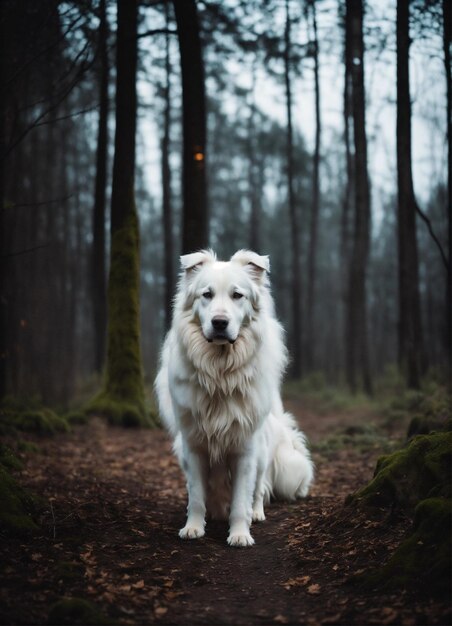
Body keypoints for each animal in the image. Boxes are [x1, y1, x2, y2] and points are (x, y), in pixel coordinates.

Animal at [154, 249, 312, 544]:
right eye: (207, 294)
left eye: (237, 295)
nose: (219, 323)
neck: (220, 374)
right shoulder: (194, 446)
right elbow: (196, 496)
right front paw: (194, 527)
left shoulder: (245, 449)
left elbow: (241, 499)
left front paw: (240, 534)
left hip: (262, 451)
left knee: (260, 487)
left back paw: (256, 513)